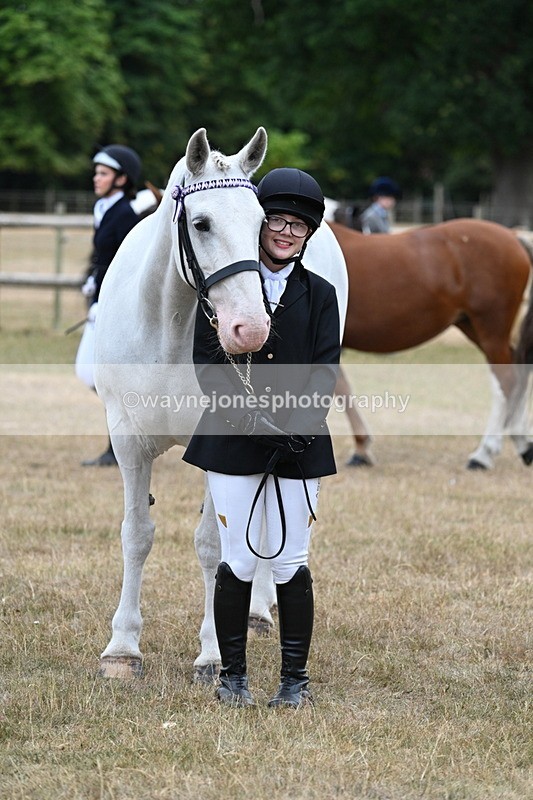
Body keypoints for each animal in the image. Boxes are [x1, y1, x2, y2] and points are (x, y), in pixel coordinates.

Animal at [330, 219, 533, 470]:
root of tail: (513, 236)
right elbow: (342, 387)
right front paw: (362, 448)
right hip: (474, 327)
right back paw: (523, 443)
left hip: (491, 330)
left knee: (507, 381)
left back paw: (483, 454)